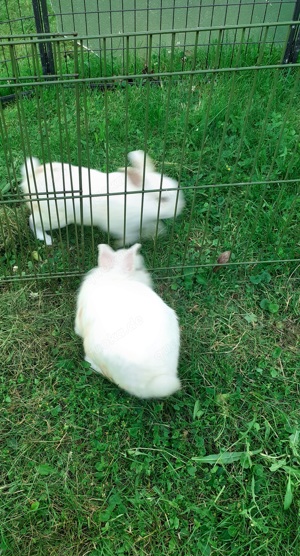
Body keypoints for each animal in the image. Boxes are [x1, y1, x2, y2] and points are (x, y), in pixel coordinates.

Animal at [19, 152, 185, 248]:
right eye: (163, 199)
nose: (181, 207)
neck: (138, 199)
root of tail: (29, 178)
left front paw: (158, 233)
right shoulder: (121, 226)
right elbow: (130, 237)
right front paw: (119, 244)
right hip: (54, 217)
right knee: (32, 221)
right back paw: (46, 239)